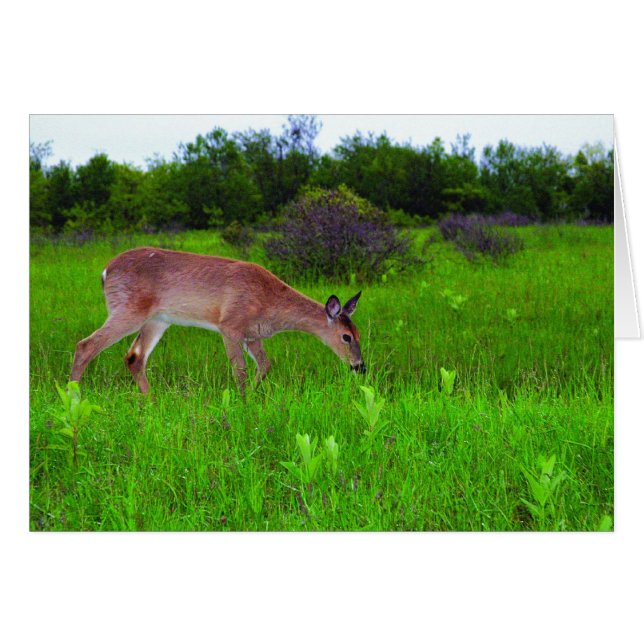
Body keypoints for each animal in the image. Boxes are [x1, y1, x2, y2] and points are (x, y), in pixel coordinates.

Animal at [70, 247, 366, 395]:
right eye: (346, 337)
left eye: (359, 334)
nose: (360, 367)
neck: (270, 302)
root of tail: (105, 272)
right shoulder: (230, 325)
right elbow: (240, 370)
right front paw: (243, 401)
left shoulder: (252, 334)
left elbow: (266, 365)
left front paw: (254, 396)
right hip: (127, 309)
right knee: (85, 345)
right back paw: (72, 399)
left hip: (158, 320)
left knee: (134, 357)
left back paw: (150, 401)